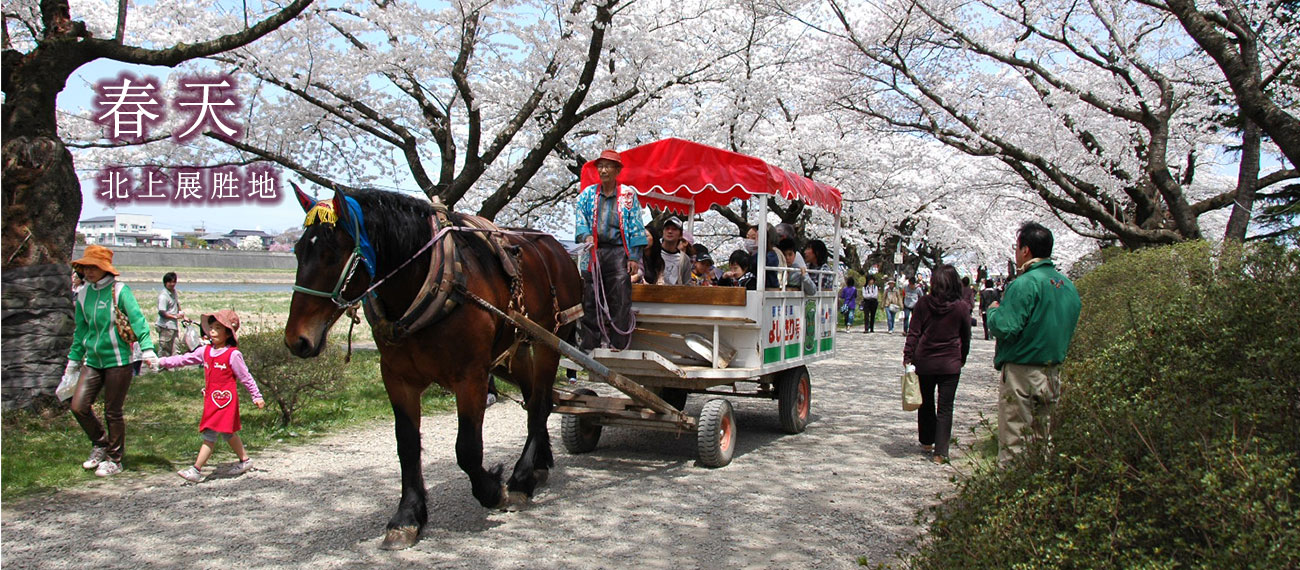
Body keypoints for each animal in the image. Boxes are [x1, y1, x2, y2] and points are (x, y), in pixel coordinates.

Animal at [289, 186, 585, 546]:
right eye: (298, 250)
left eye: (332, 255)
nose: (297, 339)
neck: (436, 280)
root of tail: (556, 248)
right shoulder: (396, 377)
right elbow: (406, 445)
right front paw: (407, 516)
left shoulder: (471, 376)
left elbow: (467, 449)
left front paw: (492, 490)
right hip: (512, 348)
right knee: (533, 401)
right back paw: (538, 465)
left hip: (549, 340)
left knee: (541, 403)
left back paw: (520, 478)